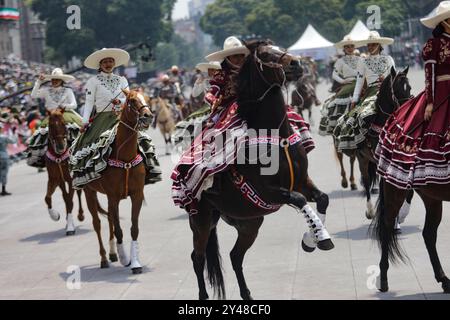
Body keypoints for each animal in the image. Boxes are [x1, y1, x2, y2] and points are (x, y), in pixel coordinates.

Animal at [188, 41, 332, 302]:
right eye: (265, 54)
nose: (297, 63)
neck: (277, 137)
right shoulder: (269, 191)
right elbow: (300, 199)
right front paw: (320, 237)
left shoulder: (302, 180)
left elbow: (322, 198)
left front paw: (312, 240)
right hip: (201, 220)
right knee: (198, 258)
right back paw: (204, 297)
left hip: (250, 223)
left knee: (235, 256)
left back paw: (247, 295)